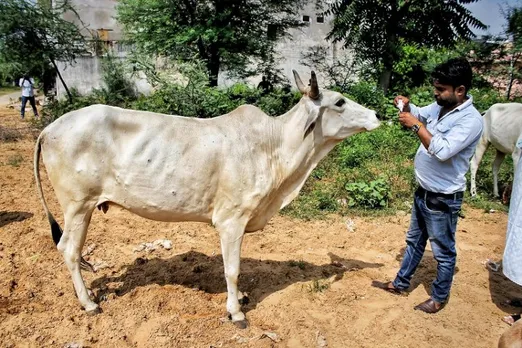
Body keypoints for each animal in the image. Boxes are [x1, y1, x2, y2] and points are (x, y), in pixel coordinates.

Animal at [34, 70, 380, 326]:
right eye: (339, 101)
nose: (377, 114)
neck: (274, 146)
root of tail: (50, 128)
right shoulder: (231, 220)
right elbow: (232, 269)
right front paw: (236, 312)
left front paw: (239, 299)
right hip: (78, 205)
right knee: (68, 250)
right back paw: (89, 304)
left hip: (83, 208)